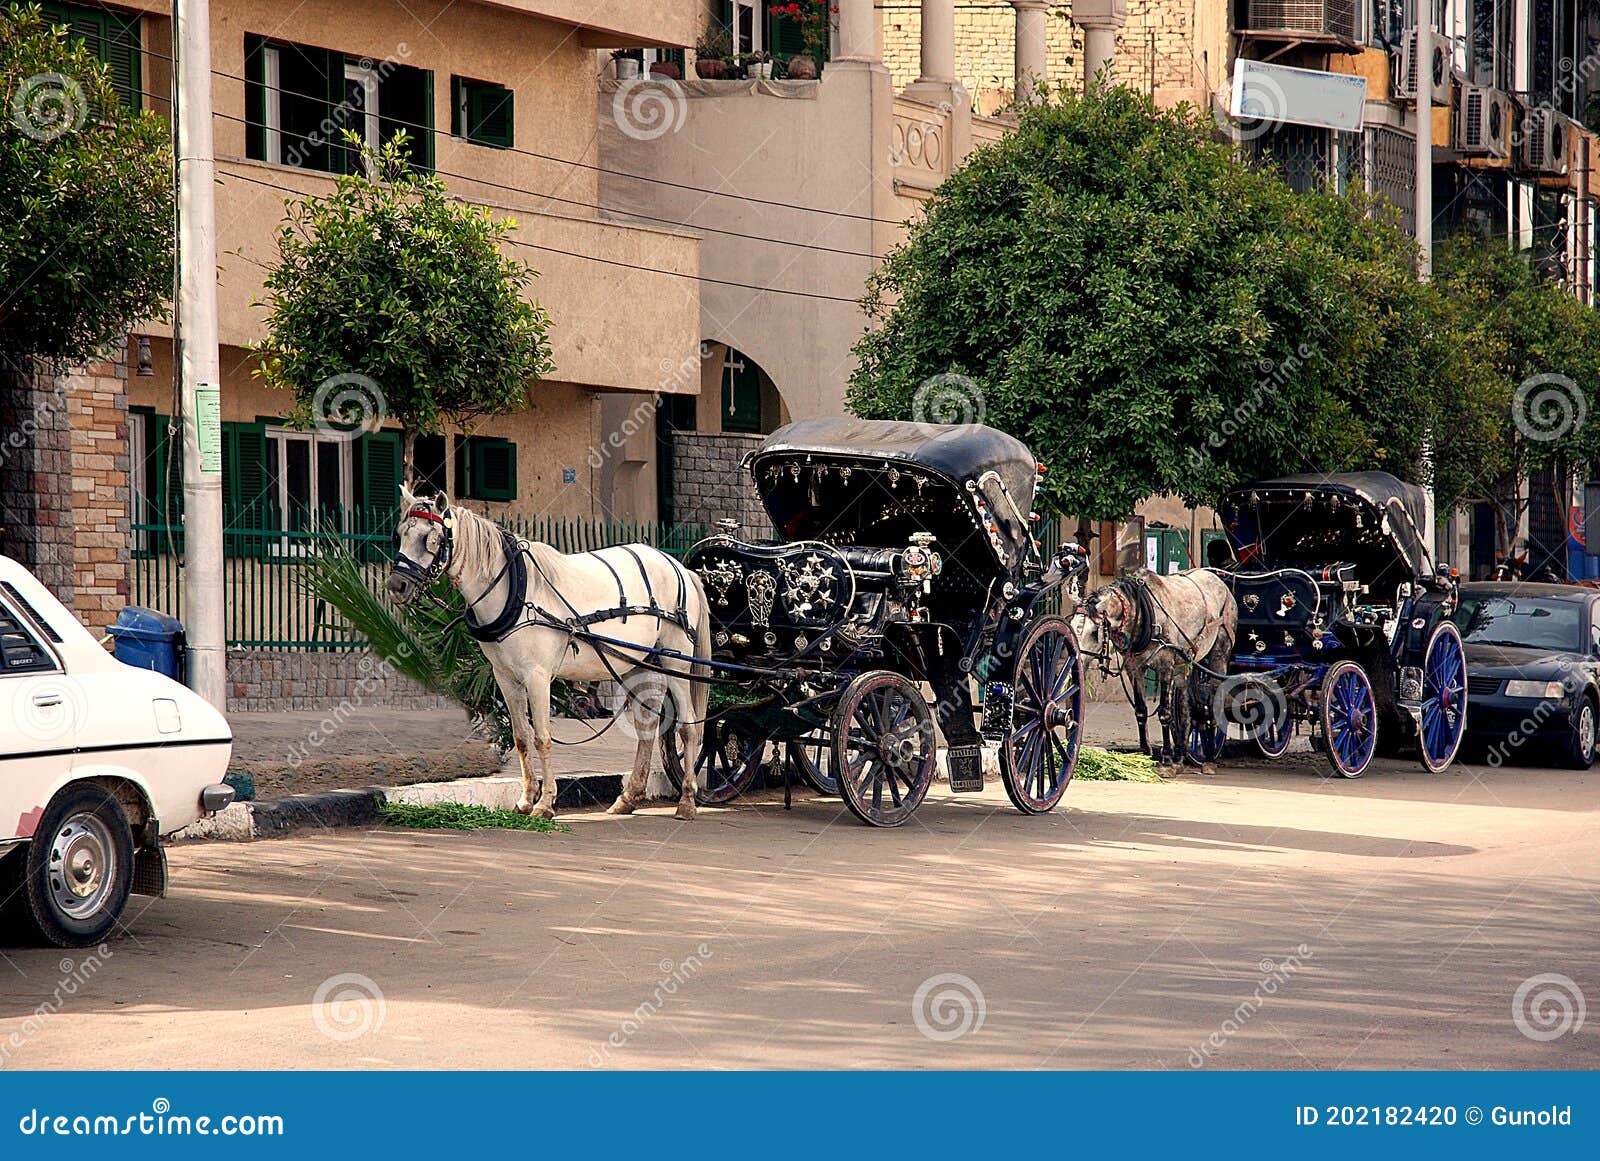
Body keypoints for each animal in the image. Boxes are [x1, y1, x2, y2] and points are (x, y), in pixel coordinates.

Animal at [384, 486, 710, 825]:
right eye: (400, 534)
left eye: (430, 539)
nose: (396, 585)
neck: (515, 590)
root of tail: (678, 566)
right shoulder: (505, 678)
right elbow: (522, 737)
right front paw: (526, 800)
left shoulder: (537, 677)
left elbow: (542, 737)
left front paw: (545, 803)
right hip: (640, 664)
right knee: (648, 726)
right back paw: (629, 797)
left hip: (676, 659)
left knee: (688, 726)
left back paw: (687, 800)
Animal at [1075, 566, 1235, 767]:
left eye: (1094, 632)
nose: (1078, 661)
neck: (1142, 613)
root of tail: (1218, 578)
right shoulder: (1134, 668)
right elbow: (1141, 710)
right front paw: (1145, 753)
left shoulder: (1165, 665)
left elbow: (1165, 713)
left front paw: (1166, 756)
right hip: (1184, 664)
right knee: (1185, 707)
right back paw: (1181, 753)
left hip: (1219, 654)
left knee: (1214, 700)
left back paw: (1210, 755)